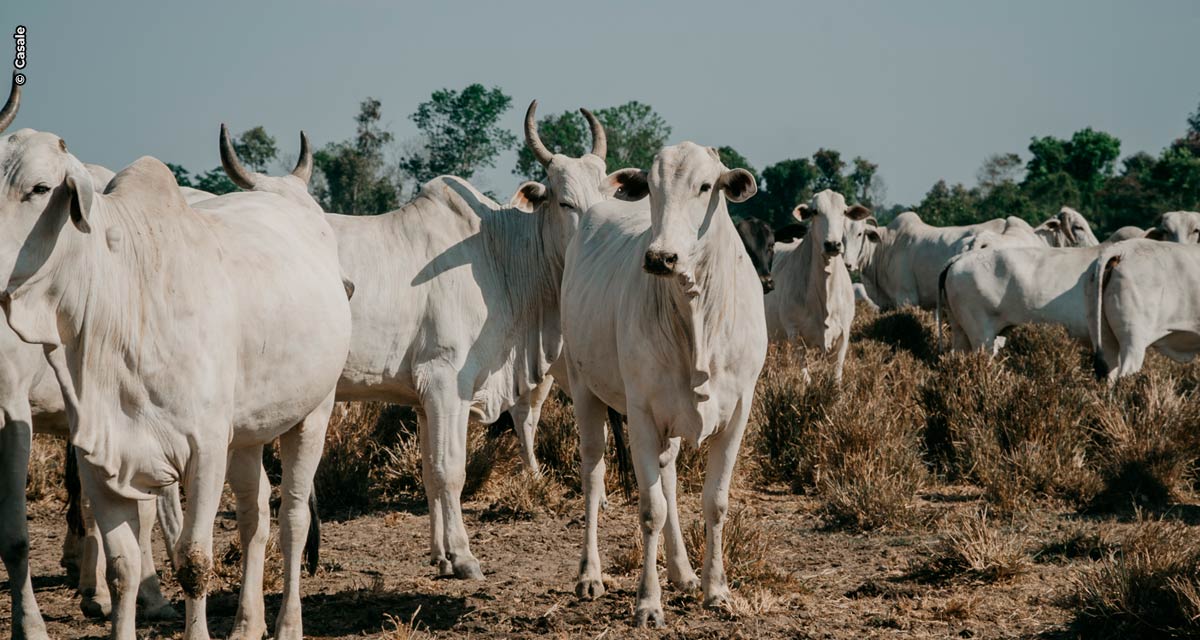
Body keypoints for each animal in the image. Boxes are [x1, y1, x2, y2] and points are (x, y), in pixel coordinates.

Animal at [564, 141, 768, 624]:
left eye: (706, 185)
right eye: (652, 189)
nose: (660, 257)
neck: (698, 317)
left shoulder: (738, 413)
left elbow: (715, 502)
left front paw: (716, 588)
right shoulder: (640, 413)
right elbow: (650, 509)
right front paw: (648, 603)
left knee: (669, 475)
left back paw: (682, 572)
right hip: (585, 391)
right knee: (594, 474)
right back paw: (590, 575)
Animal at [768, 189, 873, 379]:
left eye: (843, 212)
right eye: (815, 211)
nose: (832, 244)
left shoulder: (843, 335)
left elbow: (836, 377)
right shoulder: (794, 333)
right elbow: (805, 377)